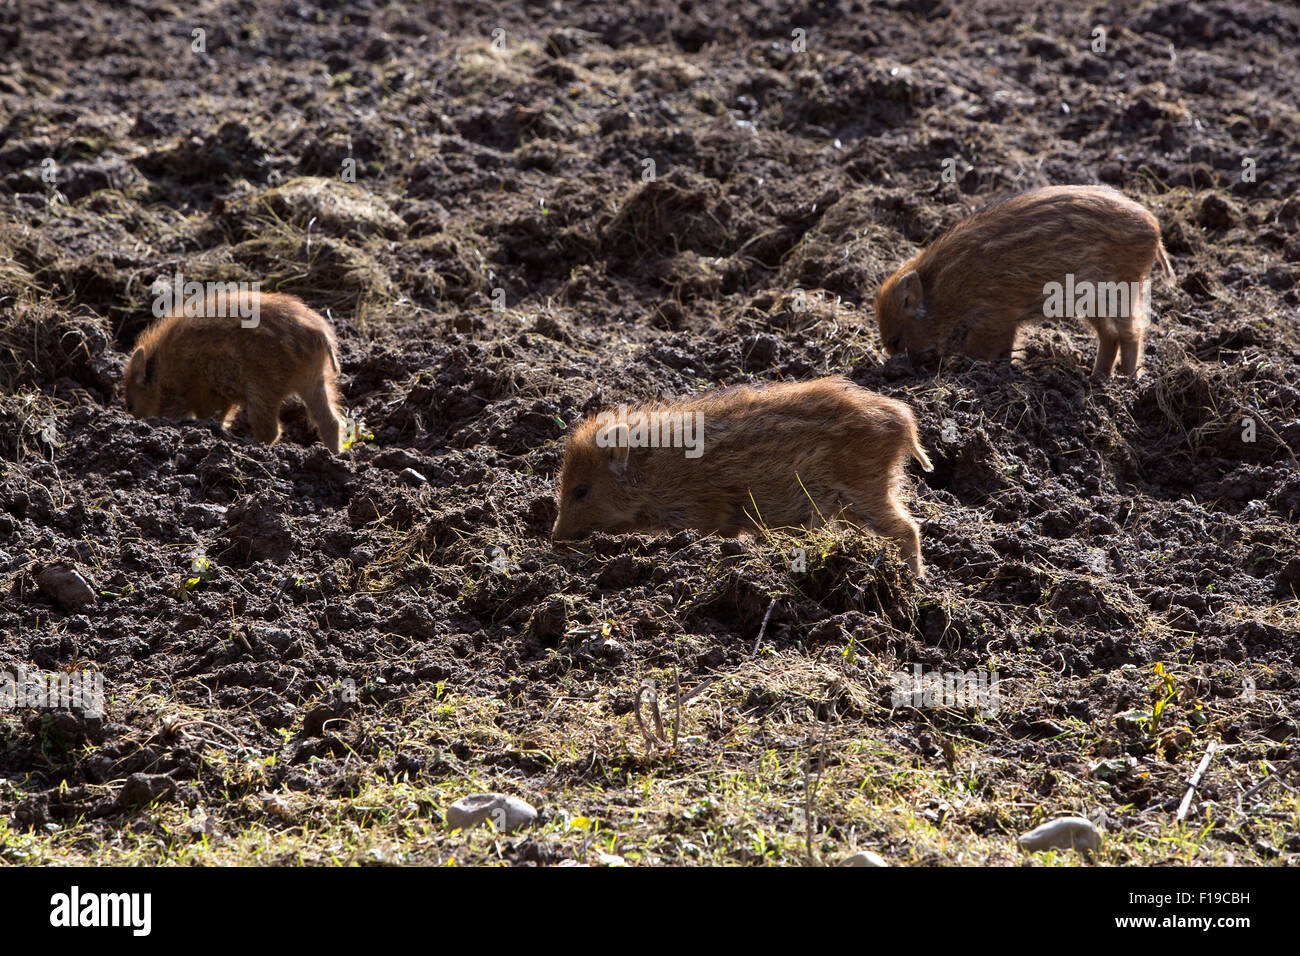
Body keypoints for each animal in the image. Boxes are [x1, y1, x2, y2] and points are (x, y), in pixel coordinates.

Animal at [123, 290, 345, 454]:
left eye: (130, 405)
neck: (162, 371)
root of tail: (318, 333)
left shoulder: (204, 391)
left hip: (263, 386)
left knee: (270, 430)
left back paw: (251, 447)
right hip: (315, 379)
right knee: (331, 421)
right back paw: (335, 456)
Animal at [551, 376, 934, 577]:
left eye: (580, 490)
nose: (554, 539)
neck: (655, 472)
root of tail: (903, 420)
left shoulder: (704, 512)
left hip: (867, 487)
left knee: (909, 528)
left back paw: (914, 580)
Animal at [874, 184, 1175, 378]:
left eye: (897, 340)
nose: (914, 371)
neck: (944, 289)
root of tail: (1155, 228)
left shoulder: (995, 314)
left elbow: (981, 350)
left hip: (1124, 287)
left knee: (1131, 332)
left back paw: (1128, 381)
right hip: (1093, 301)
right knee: (1109, 335)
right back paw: (1097, 378)